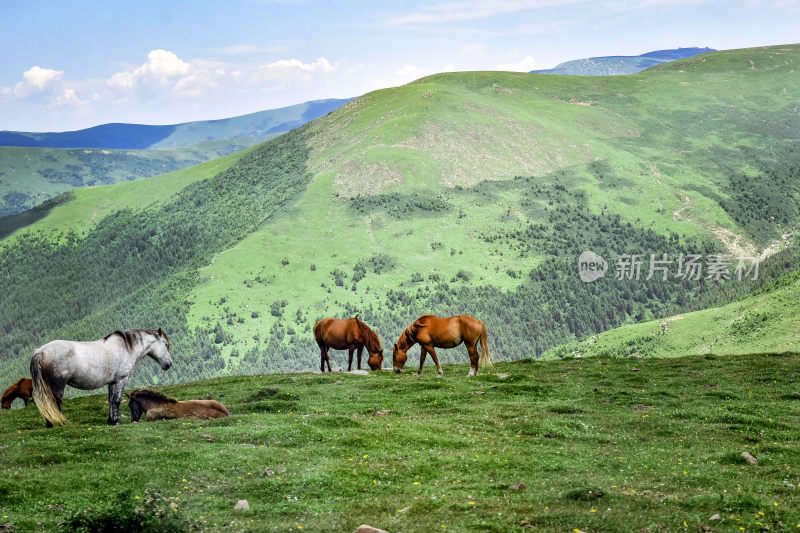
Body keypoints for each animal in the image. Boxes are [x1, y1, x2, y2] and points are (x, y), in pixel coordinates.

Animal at [30, 326, 173, 426]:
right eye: (165, 344)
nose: (169, 364)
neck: (127, 348)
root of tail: (40, 351)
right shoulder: (121, 380)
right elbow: (116, 401)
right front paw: (115, 421)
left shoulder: (112, 382)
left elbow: (110, 400)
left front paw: (110, 421)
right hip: (58, 385)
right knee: (55, 403)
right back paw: (60, 423)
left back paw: (50, 424)